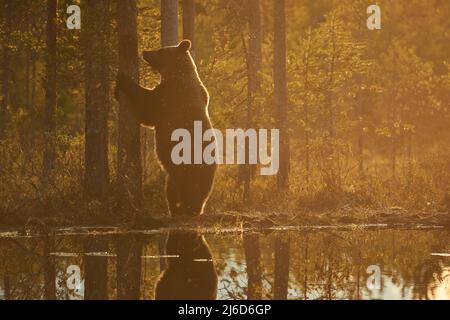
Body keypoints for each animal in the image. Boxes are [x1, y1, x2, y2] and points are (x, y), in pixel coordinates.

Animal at [115, 38, 215, 216]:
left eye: (160, 51)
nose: (145, 52)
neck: (176, 73)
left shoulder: (170, 97)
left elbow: (147, 107)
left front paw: (122, 79)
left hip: (190, 164)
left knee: (189, 189)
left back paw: (187, 208)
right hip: (177, 175)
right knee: (171, 189)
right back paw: (178, 208)